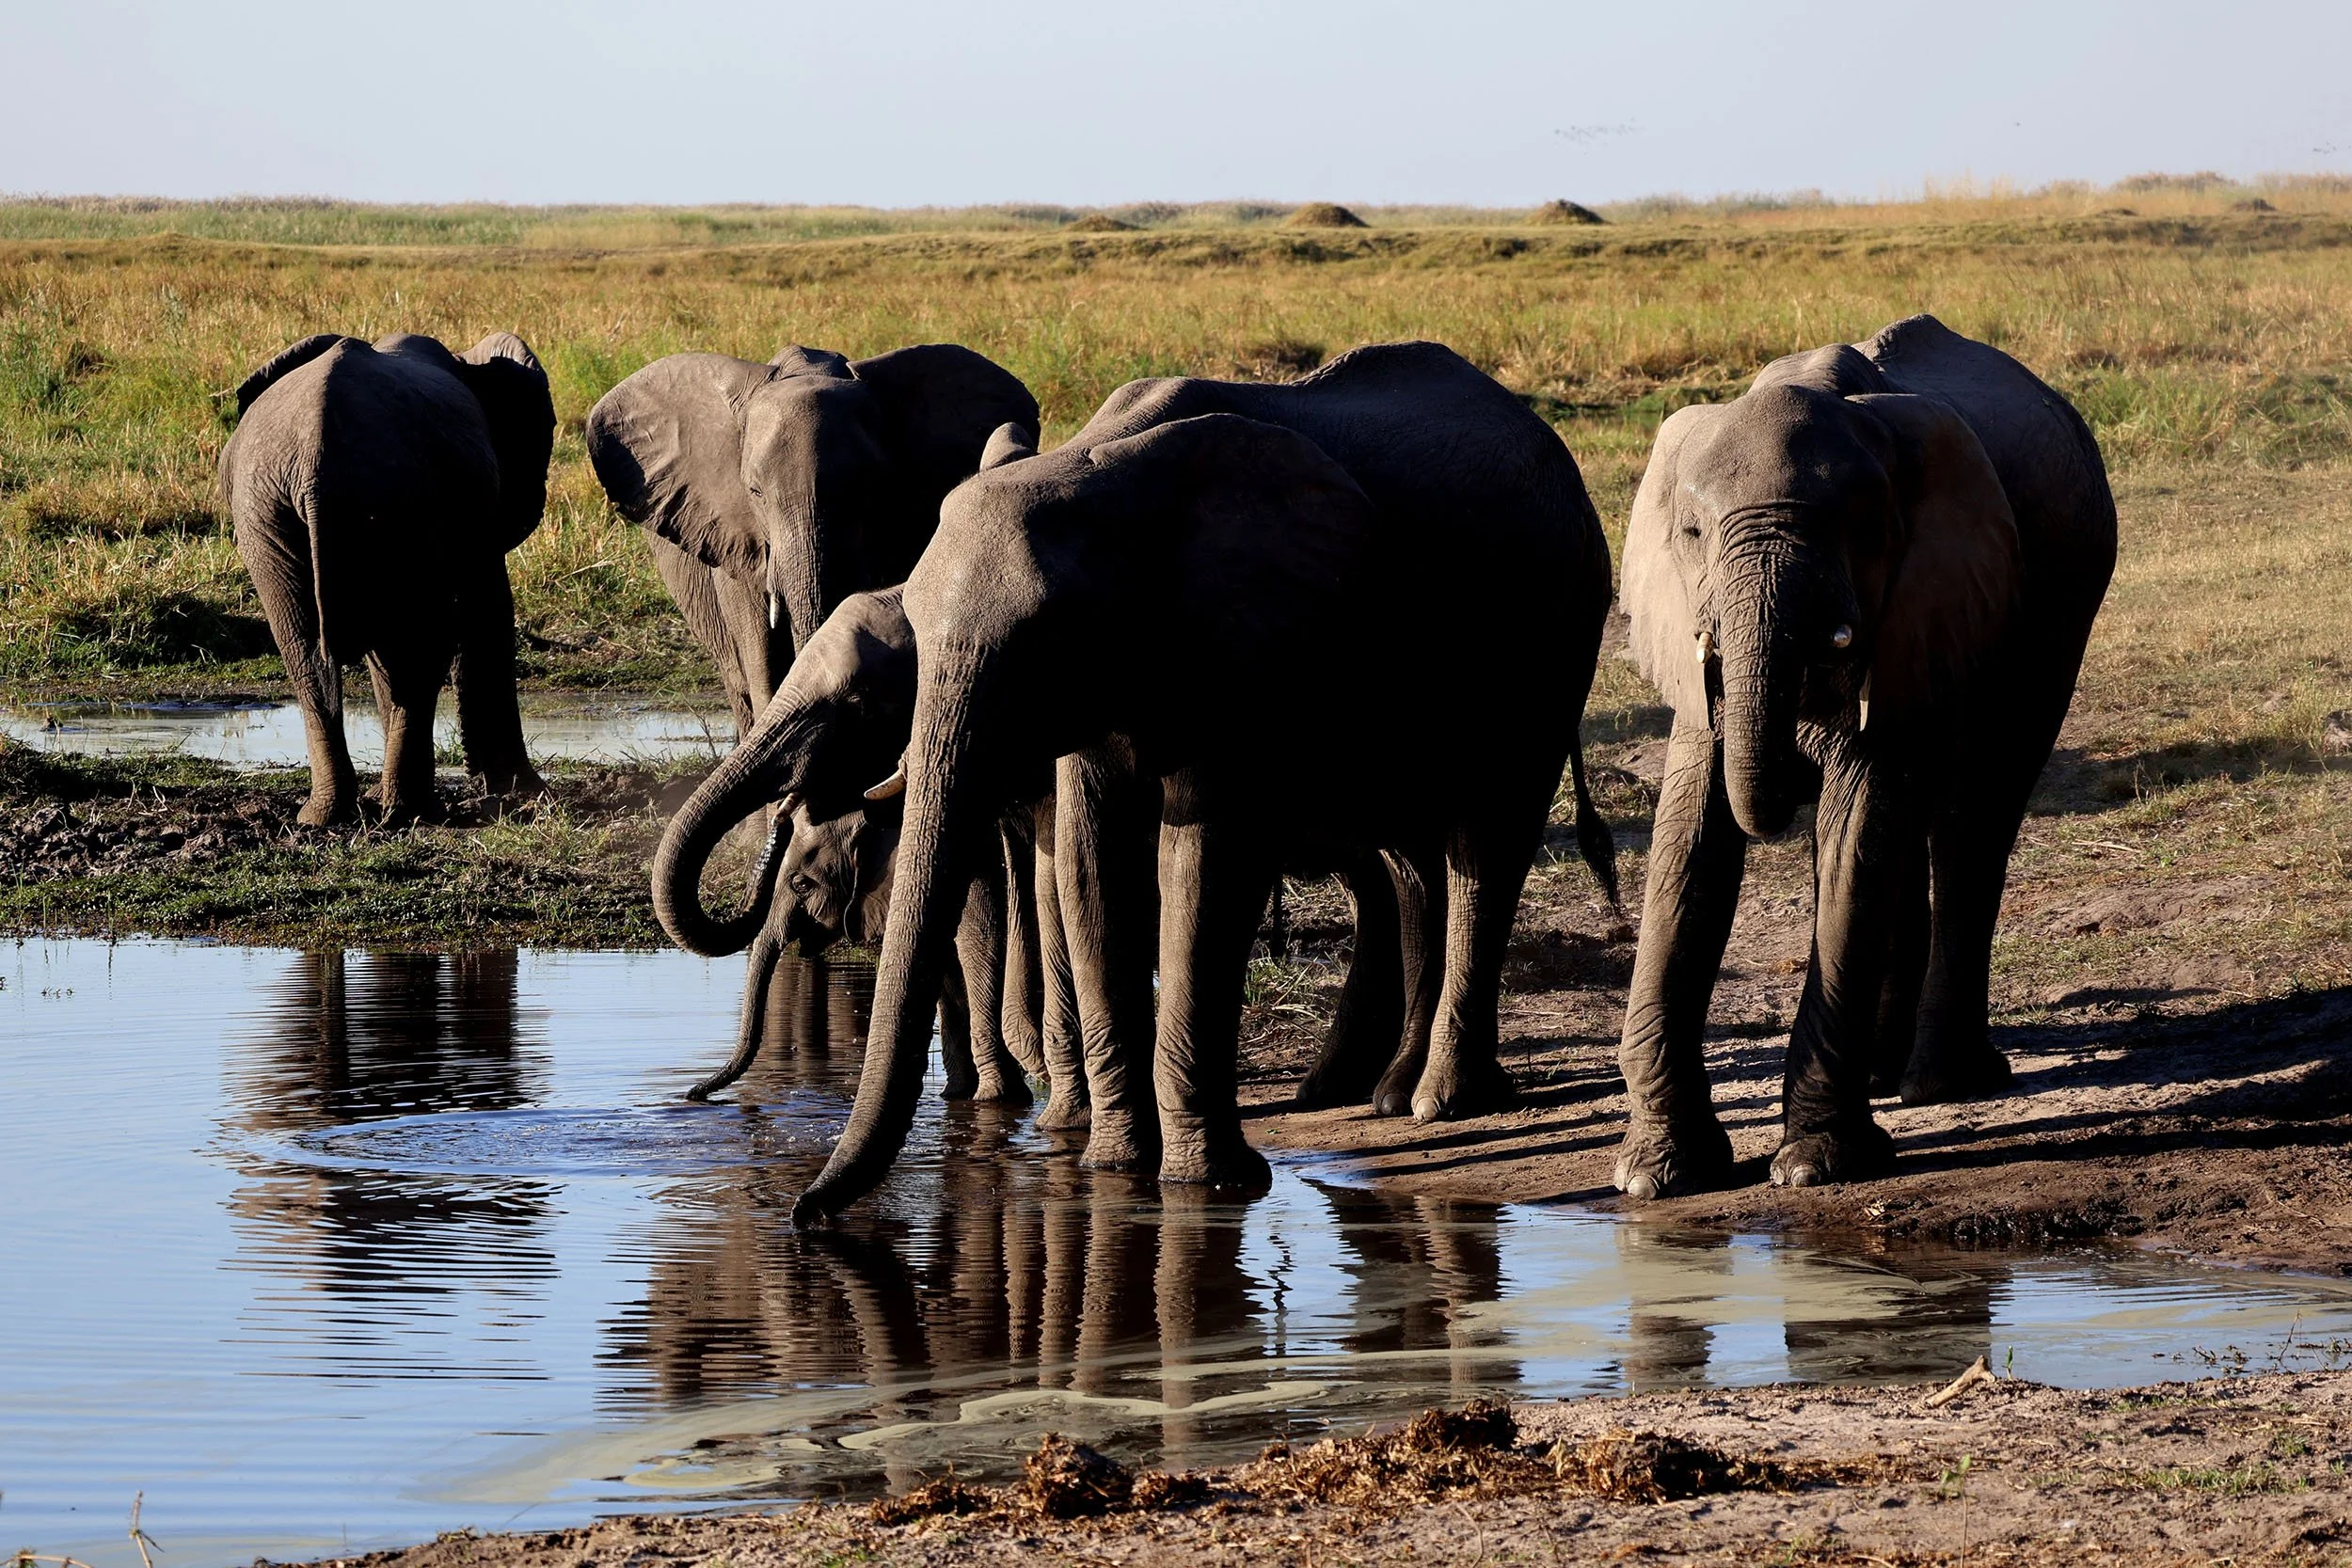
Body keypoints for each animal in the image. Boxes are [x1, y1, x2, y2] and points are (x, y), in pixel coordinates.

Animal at [219, 331, 556, 824]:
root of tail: (316, 462)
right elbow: (486, 614)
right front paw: (528, 794)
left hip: (270, 513)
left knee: (310, 655)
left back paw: (328, 816)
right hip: (389, 504)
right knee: (414, 648)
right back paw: (410, 811)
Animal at [791, 340, 1617, 1225]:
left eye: (1045, 640)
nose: (804, 1216)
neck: (1103, 471)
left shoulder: (1240, 644)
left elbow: (1203, 864)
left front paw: (1207, 1182)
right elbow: (1093, 866)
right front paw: (1117, 1169)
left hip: (1551, 634)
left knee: (1487, 843)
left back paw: (1444, 1103)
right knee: (1413, 861)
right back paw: (1390, 1095)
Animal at [1610, 313, 2115, 1198]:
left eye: (1863, 531)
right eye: (1693, 533)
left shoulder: (1921, 597)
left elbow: (1856, 823)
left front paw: (1814, 1168)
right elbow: (1689, 845)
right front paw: (1656, 1174)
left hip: (2058, 614)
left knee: (1972, 817)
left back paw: (1941, 1082)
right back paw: (1886, 1072)